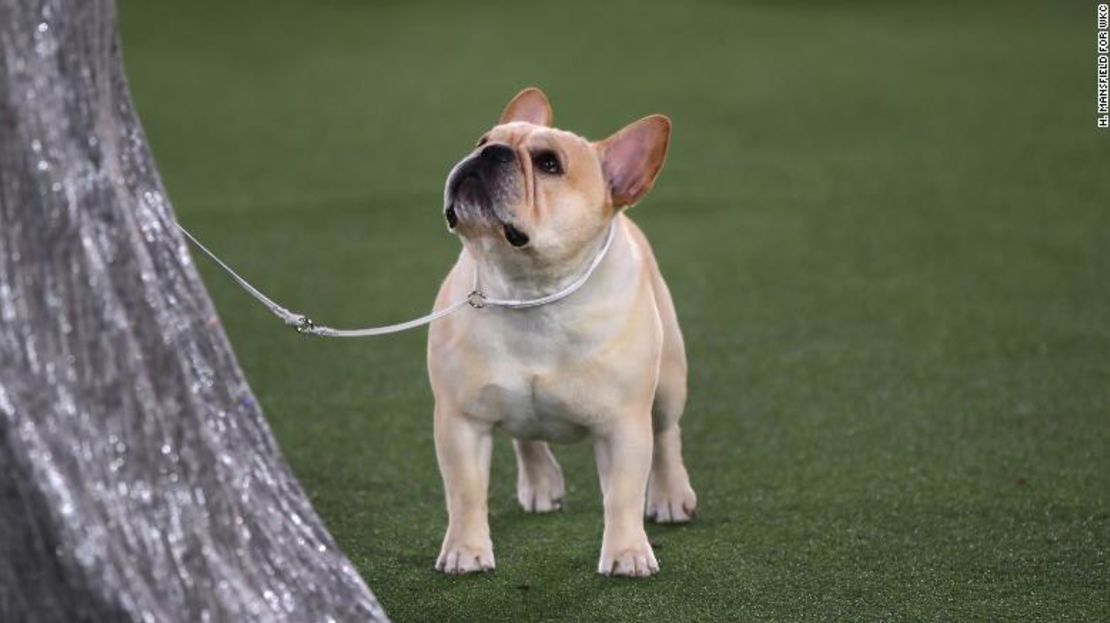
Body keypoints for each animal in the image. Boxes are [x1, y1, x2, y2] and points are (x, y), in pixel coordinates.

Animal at [424, 88, 692, 577]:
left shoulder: (623, 427)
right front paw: (466, 549)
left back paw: (671, 495)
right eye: (482, 140)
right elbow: (465, 492)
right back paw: (540, 482)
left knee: (666, 434)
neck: (529, 291)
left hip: (668, 382)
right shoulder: (461, 420)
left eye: (549, 164)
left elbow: (622, 495)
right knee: (524, 434)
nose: (489, 153)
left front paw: (627, 552)